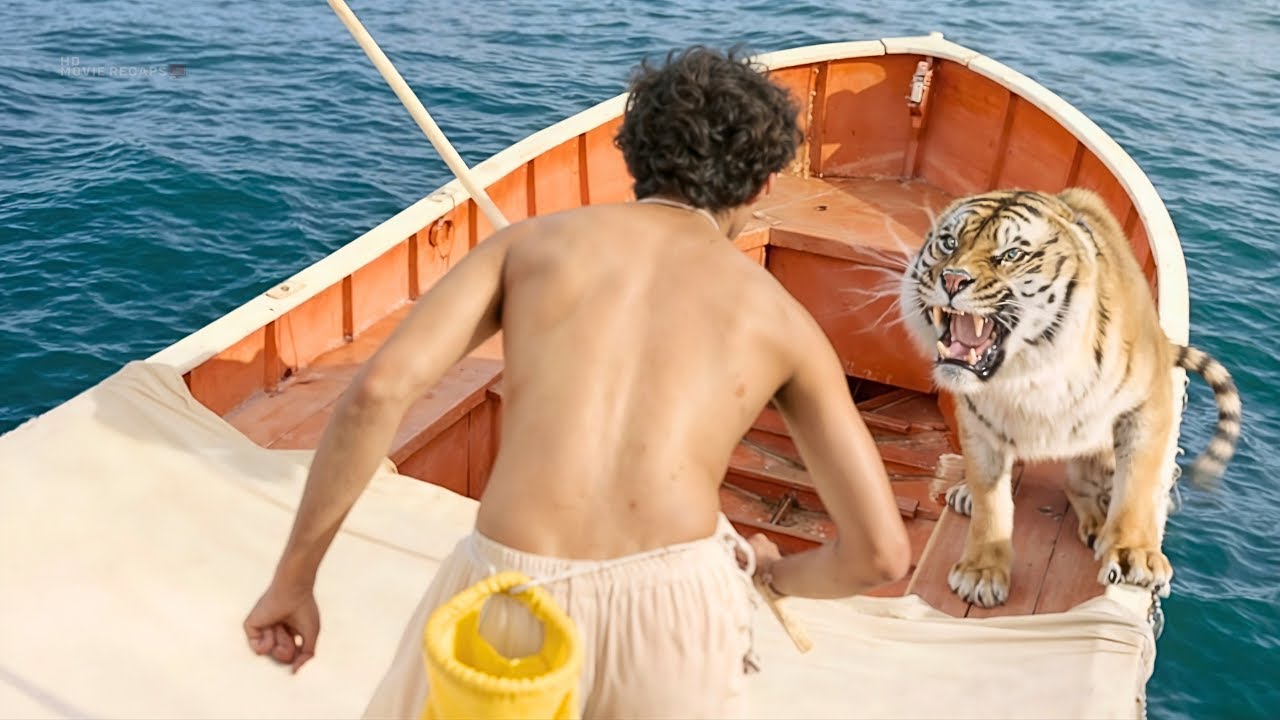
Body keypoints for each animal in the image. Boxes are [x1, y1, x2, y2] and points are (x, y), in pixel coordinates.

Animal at [897, 187, 1242, 608]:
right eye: (948, 243)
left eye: (1011, 254)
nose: (951, 278)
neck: (1028, 375)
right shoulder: (979, 423)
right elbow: (991, 501)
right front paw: (980, 572)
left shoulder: (1149, 401)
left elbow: (1138, 484)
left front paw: (1134, 554)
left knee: (1084, 482)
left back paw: (1098, 525)